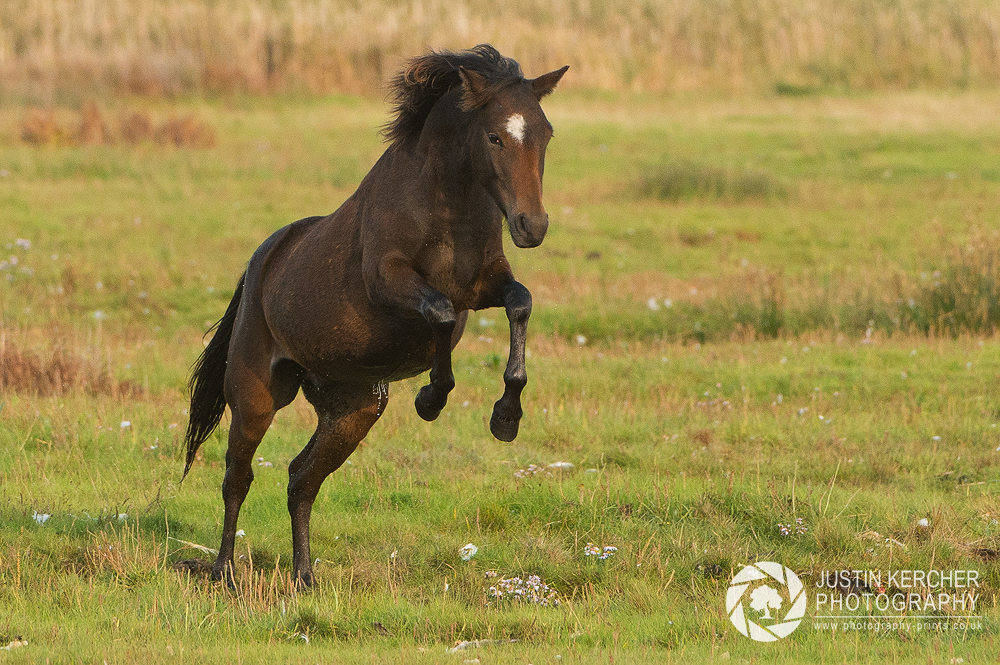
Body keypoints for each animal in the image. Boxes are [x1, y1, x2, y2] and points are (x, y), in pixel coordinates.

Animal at [183, 44, 568, 584]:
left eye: (546, 133)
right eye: (494, 136)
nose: (532, 225)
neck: (447, 210)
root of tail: (263, 257)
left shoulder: (485, 285)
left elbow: (520, 303)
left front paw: (506, 417)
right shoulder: (389, 280)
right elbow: (440, 312)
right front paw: (431, 397)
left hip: (353, 409)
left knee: (301, 478)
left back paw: (305, 577)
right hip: (256, 395)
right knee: (237, 476)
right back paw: (224, 572)